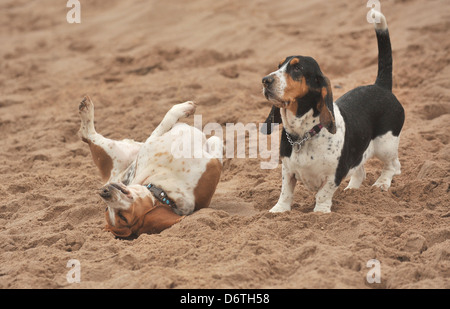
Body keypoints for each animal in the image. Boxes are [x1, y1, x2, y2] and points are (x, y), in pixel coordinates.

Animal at [80, 97, 224, 237]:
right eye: (122, 217)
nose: (104, 192)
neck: (164, 189)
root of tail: (110, 177)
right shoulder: (213, 163)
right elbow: (170, 118)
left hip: (119, 148)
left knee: (87, 135)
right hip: (109, 150)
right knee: (87, 135)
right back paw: (86, 108)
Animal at [260, 9, 404, 212]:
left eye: (297, 68)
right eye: (279, 66)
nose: (265, 80)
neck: (304, 133)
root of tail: (381, 86)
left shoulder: (335, 173)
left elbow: (323, 194)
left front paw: (320, 212)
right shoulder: (287, 170)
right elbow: (285, 192)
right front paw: (279, 210)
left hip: (386, 145)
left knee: (393, 166)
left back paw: (381, 184)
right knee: (361, 171)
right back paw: (352, 190)